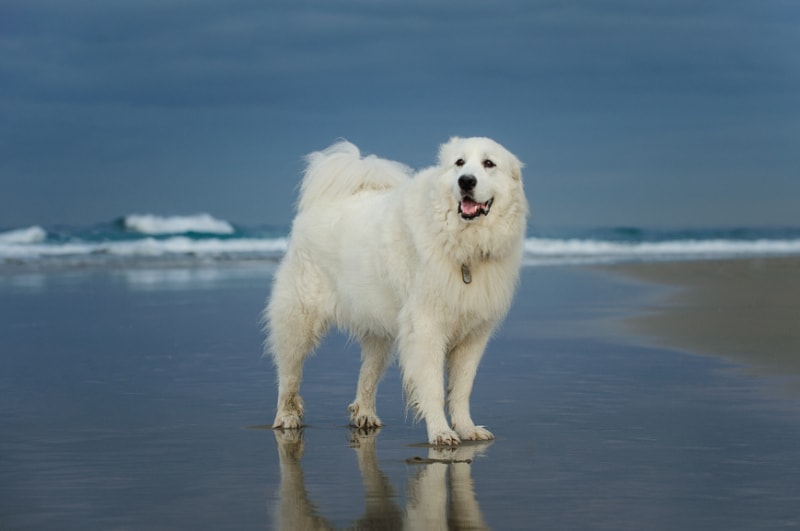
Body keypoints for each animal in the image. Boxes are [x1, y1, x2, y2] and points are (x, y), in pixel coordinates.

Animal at [264, 136, 532, 444]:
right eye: (459, 163)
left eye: (489, 163)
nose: (466, 181)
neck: (462, 244)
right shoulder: (427, 328)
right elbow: (433, 387)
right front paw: (440, 432)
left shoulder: (473, 335)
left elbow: (462, 388)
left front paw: (467, 429)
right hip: (299, 320)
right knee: (289, 373)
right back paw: (286, 417)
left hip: (378, 330)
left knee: (368, 375)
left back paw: (364, 415)